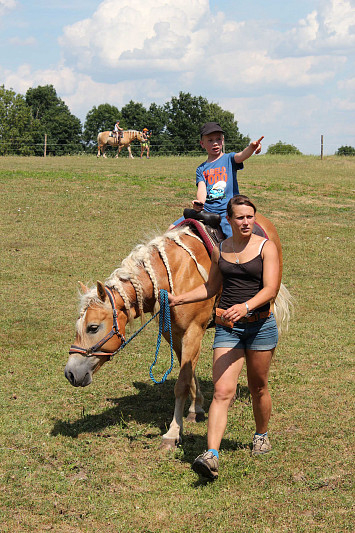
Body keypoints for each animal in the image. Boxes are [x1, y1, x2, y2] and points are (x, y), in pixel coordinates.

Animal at [65, 214, 294, 446]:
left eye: (93, 327)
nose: (70, 373)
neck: (173, 275)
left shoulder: (193, 331)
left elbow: (182, 383)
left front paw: (173, 432)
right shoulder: (173, 334)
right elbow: (189, 371)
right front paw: (196, 408)